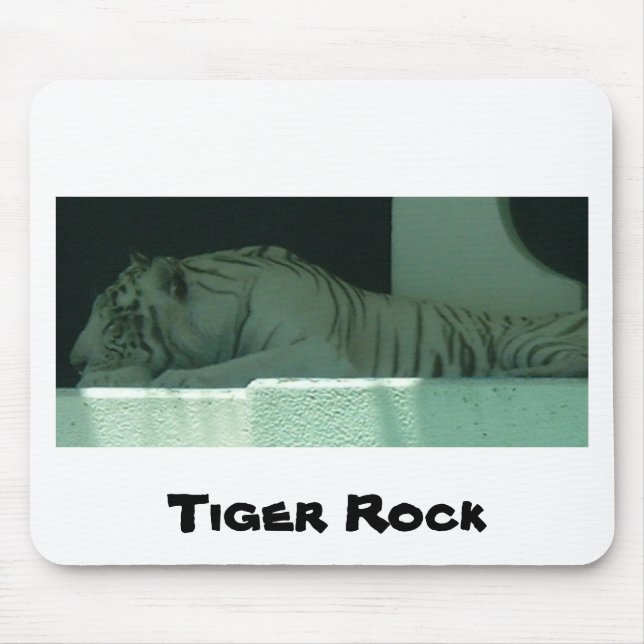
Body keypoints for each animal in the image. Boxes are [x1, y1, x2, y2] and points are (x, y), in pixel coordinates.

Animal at [70, 245, 588, 388]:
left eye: (112, 321)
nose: (73, 361)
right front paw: (98, 380)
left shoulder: (319, 352)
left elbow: (247, 365)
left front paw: (179, 379)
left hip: (522, 341)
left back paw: (511, 372)